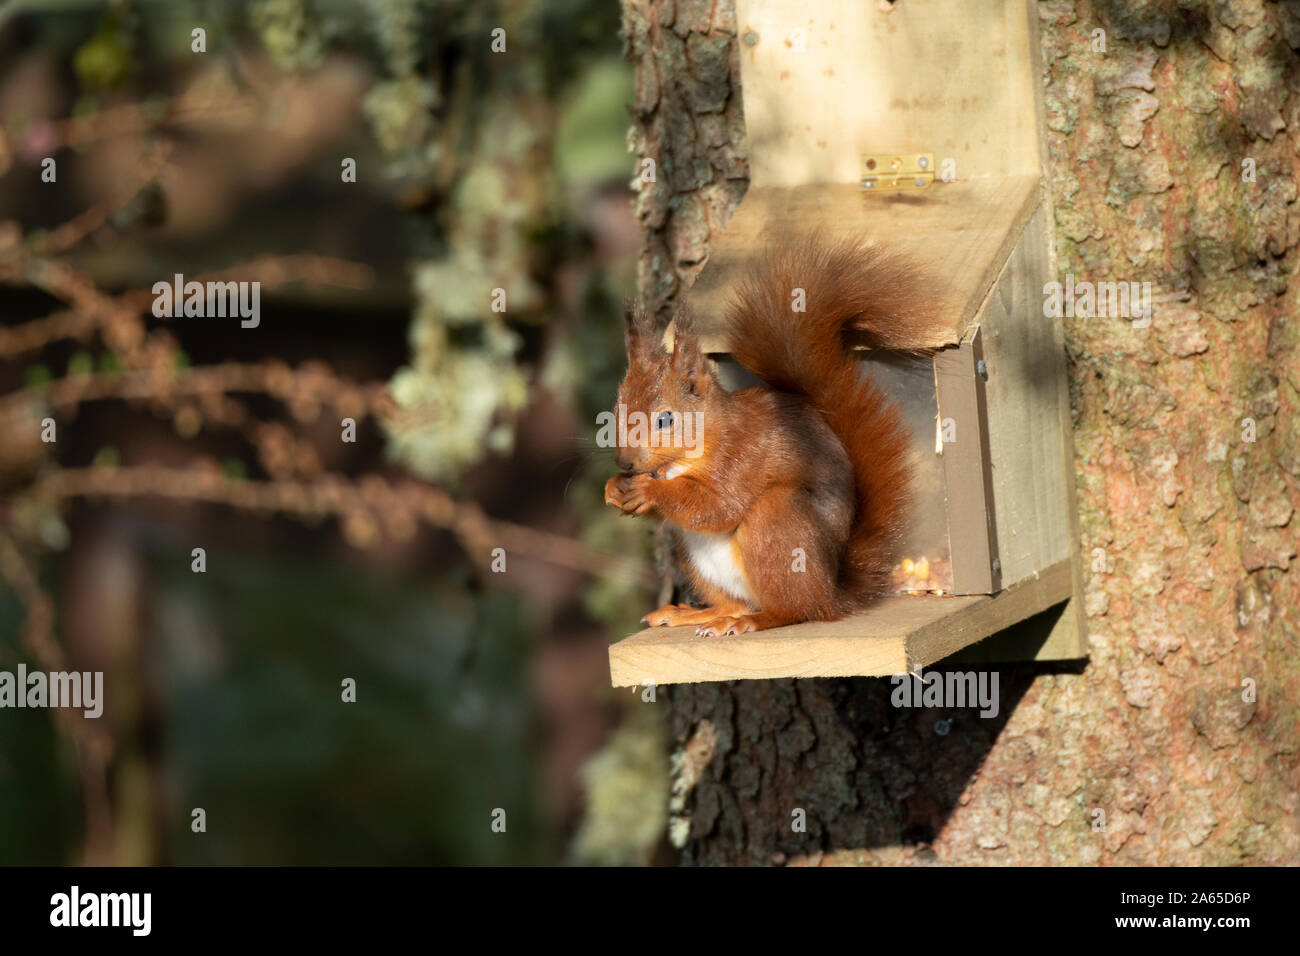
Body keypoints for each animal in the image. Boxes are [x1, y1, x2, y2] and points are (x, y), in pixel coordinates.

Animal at [604, 235, 942, 637]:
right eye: (616, 410)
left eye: (665, 419)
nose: (625, 462)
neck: (685, 457)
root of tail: (831, 592)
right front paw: (614, 487)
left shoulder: (742, 455)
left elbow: (716, 506)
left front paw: (648, 490)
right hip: (699, 561)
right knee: (732, 602)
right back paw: (696, 614)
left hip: (776, 522)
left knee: (793, 609)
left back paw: (753, 620)